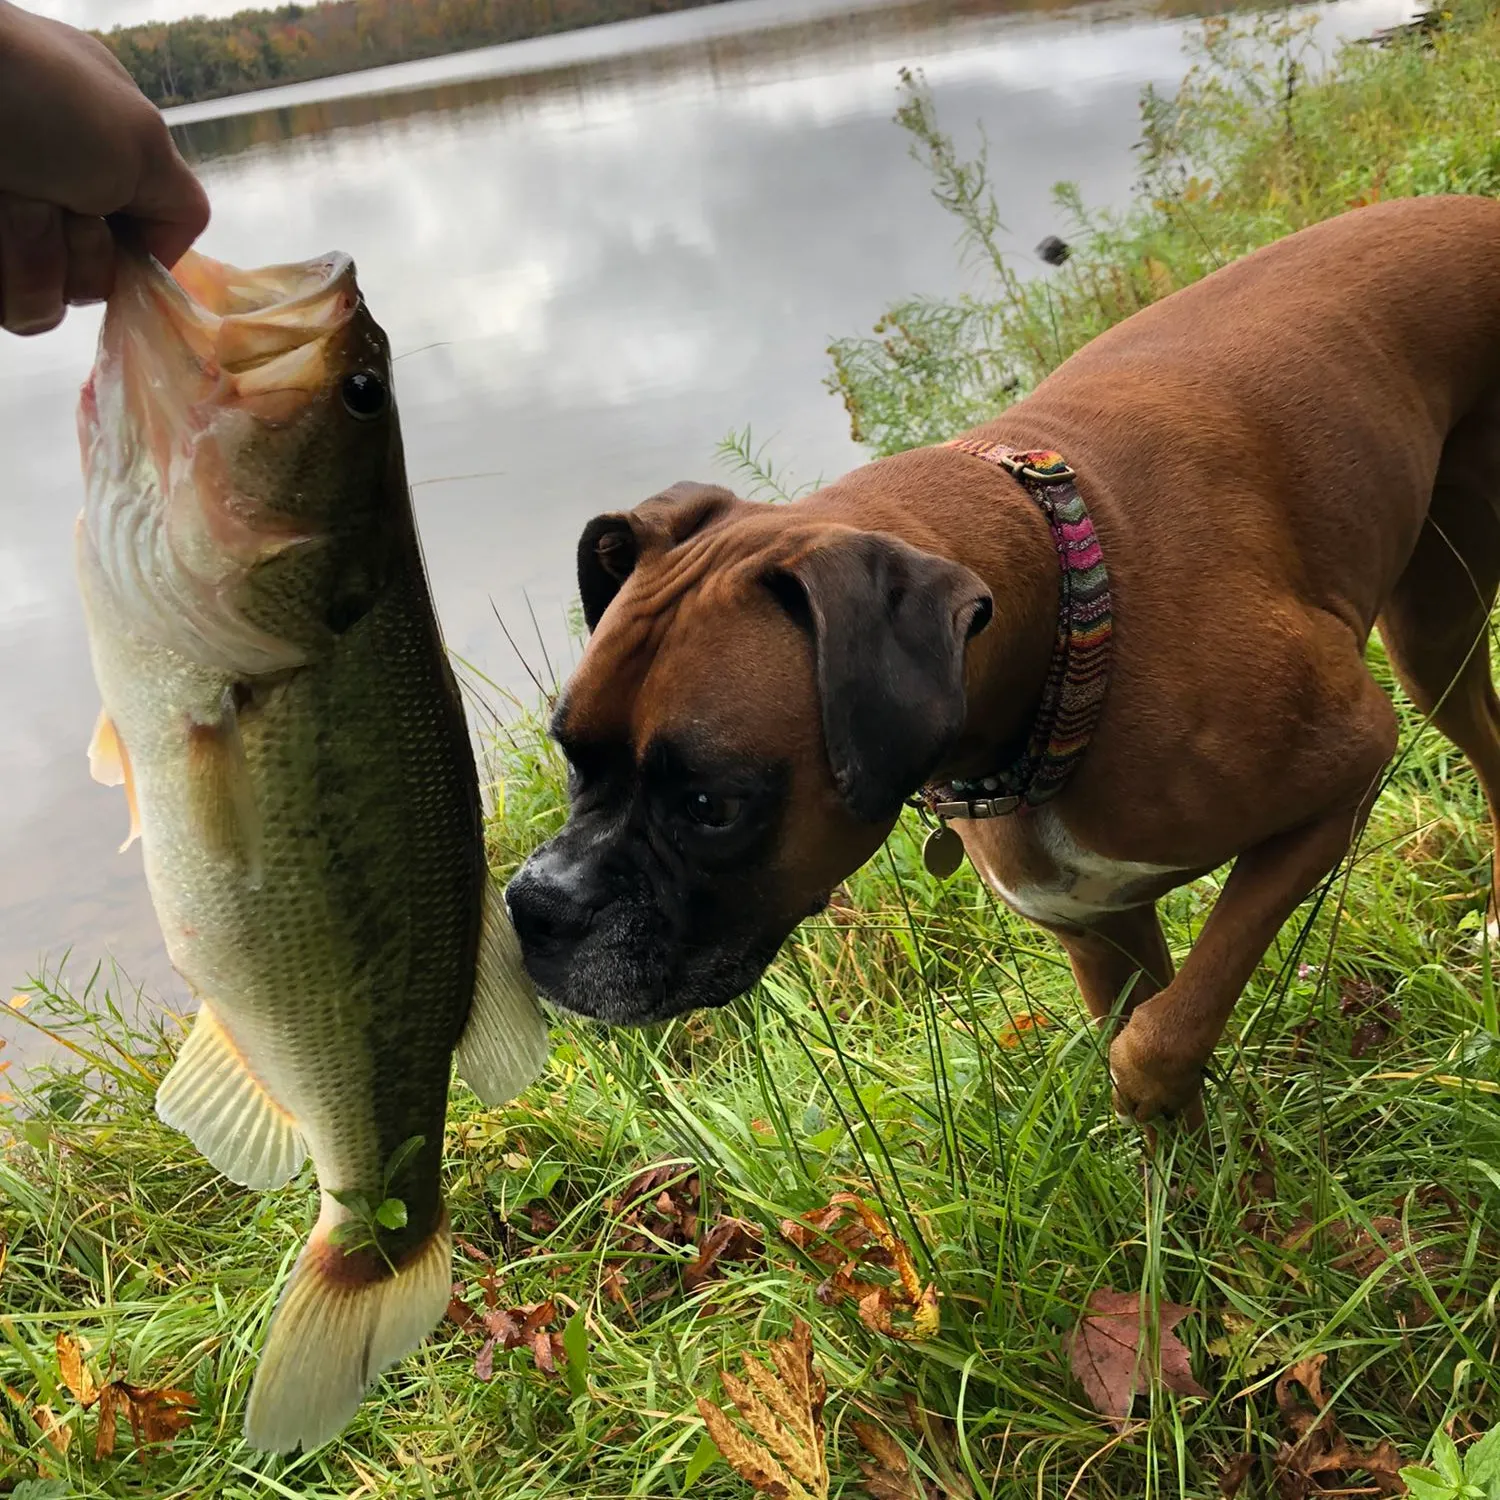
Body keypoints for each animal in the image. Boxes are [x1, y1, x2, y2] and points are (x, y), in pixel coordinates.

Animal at [507, 193, 1500, 1122]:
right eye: (569, 756)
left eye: (711, 806)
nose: (533, 906)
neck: (1067, 615)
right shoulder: (1101, 926)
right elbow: (1157, 1087)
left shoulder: (1348, 766)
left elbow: (1157, 1040)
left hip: (1433, 634)